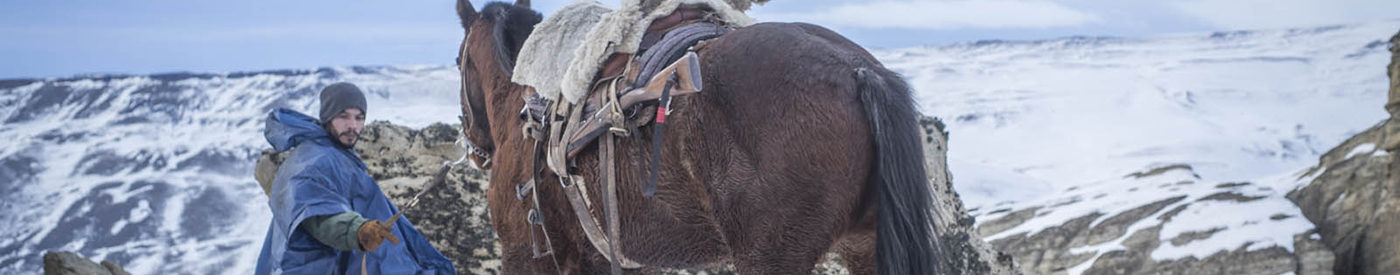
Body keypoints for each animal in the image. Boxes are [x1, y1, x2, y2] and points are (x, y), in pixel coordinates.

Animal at [453, 1, 946, 273]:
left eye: (458, 60)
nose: (475, 148)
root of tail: (858, 70)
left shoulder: (525, 253)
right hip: (865, 244)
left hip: (771, 257)